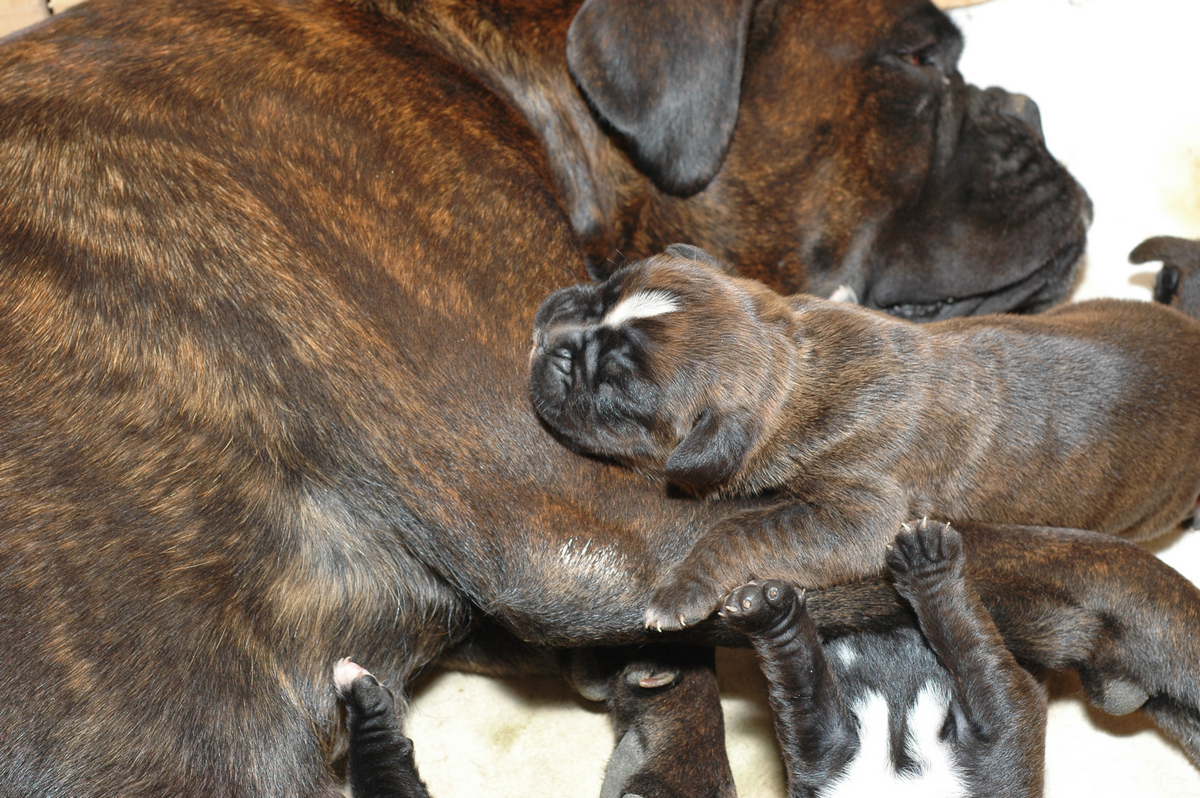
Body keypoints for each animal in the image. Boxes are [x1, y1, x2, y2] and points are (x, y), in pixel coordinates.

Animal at [528, 244, 1200, 631]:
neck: (801, 362)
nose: (552, 342)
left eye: (616, 395)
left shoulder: (859, 519)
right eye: (606, 287)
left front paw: (682, 590)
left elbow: (741, 528)